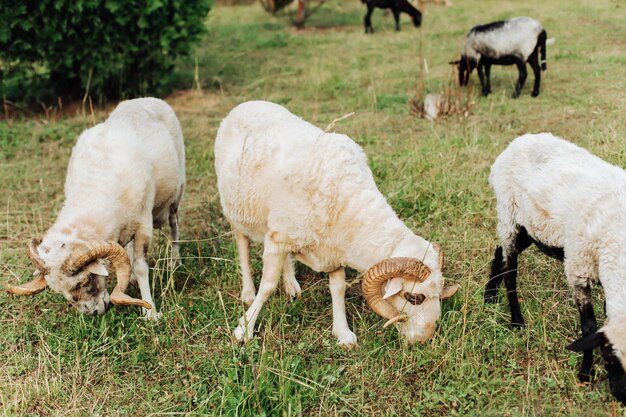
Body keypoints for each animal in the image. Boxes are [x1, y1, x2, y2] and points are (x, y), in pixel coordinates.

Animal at [5, 98, 185, 322]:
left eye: (85, 280)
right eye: (59, 291)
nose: (94, 313)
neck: (94, 187)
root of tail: (145, 99)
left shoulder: (144, 223)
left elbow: (141, 267)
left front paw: (150, 312)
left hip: (177, 192)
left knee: (174, 224)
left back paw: (175, 261)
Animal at [214, 101, 458, 348]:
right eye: (414, 297)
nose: (425, 338)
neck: (348, 200)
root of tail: (248, 104)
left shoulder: (331, 250)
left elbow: (338, 289)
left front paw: (343, 332)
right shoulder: (280, 239)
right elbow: (268, 286)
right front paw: (244, 329)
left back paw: (291, 285)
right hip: (235, 210)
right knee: (242, 246)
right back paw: (247, 292)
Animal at [488, 132, 624, 404]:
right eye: (609, 358)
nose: (622, 396)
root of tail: (520, 139)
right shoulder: (578, 268)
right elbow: (589, 327)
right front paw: (584, 375)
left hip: (529, 227)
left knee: (500, 254)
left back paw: (490, 296)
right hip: (508, 214)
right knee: (510, 271)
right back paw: (516, 321)